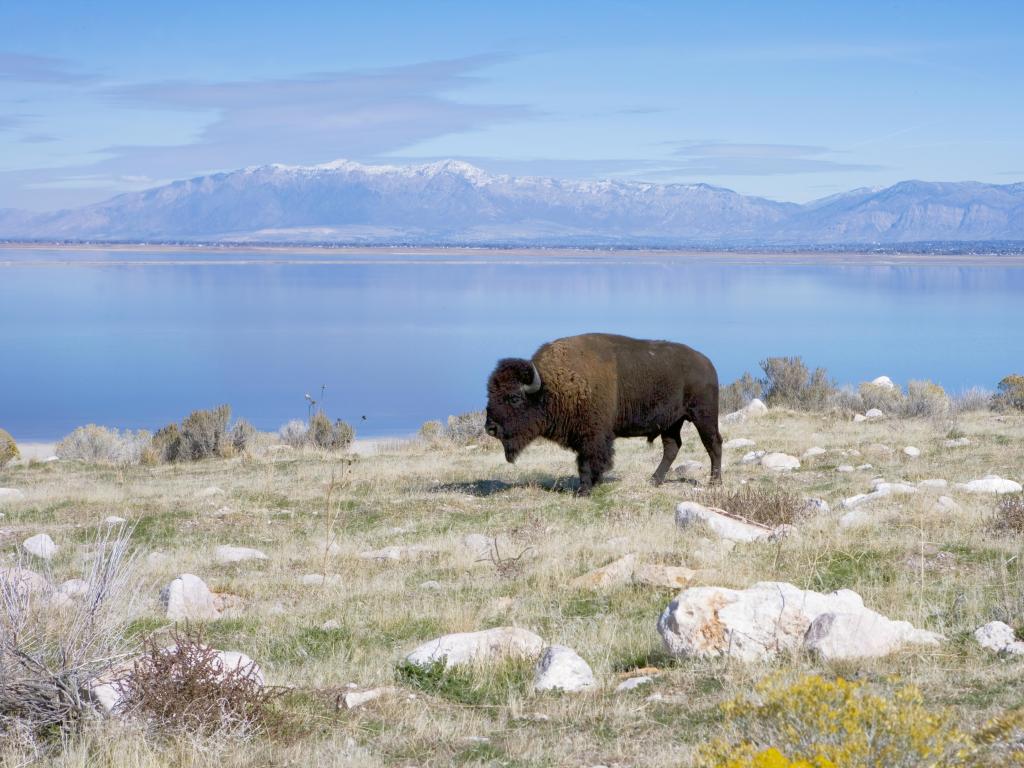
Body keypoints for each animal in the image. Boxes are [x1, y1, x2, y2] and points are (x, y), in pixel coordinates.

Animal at [485, 333, 720, 495]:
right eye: (490, 393)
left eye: (514, 398)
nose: (490, 427)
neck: (550, 386)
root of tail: (707, 363)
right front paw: (592, 485)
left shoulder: (592, 436)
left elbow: (587, 462)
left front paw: (584, 491)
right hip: (671, 423)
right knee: (672, 447)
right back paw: (654, 480)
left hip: (703, 416)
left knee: (713, 443)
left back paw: (715, 482)